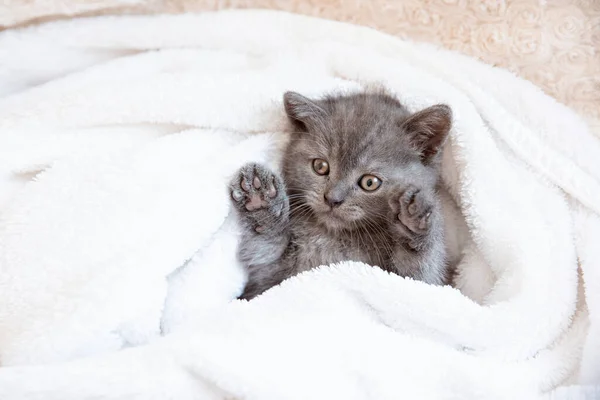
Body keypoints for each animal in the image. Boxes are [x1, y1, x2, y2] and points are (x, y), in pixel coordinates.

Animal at [230, 89, 450, 298]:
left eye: (370, 182)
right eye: (320, 166)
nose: (332, 199)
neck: (334, 235)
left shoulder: (409, 280)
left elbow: (419, 274)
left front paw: (415, 217)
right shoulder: (267, 278)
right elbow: (265, 254)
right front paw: (262, 202)